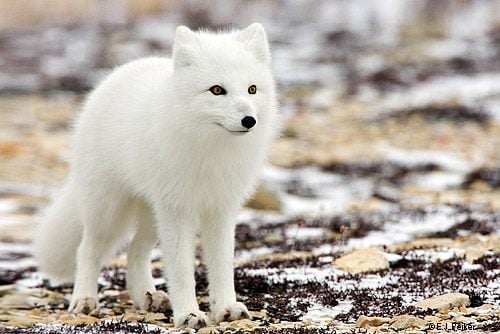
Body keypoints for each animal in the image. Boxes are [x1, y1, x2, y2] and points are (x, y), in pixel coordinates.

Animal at [33, 22, 280, 328]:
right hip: (108, 208)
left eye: (252, 89)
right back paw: (85, 299)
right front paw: (189, 314)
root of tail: (114, 76)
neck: (211, 152)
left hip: (152, 213)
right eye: (217, 90)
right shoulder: (177, 210)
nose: (249, 120)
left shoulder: (221, 209)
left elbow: (222, 265)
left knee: (135, 251)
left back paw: (147, 297)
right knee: (88, 249)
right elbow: (182, 270)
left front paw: (226, 308)